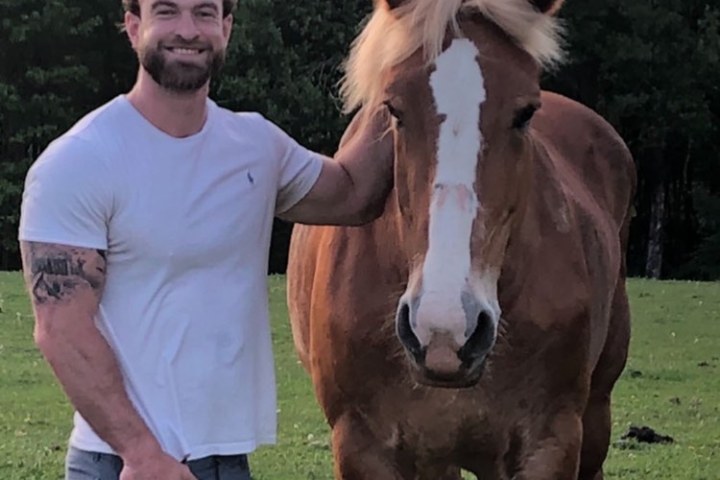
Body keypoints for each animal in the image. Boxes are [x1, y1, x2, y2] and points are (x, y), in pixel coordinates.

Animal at [287, 0, 636, 478]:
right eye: (393, 109)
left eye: (526, 112)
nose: (445, 328)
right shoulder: (361, 447)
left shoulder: (551, 443)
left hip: (594, 418)